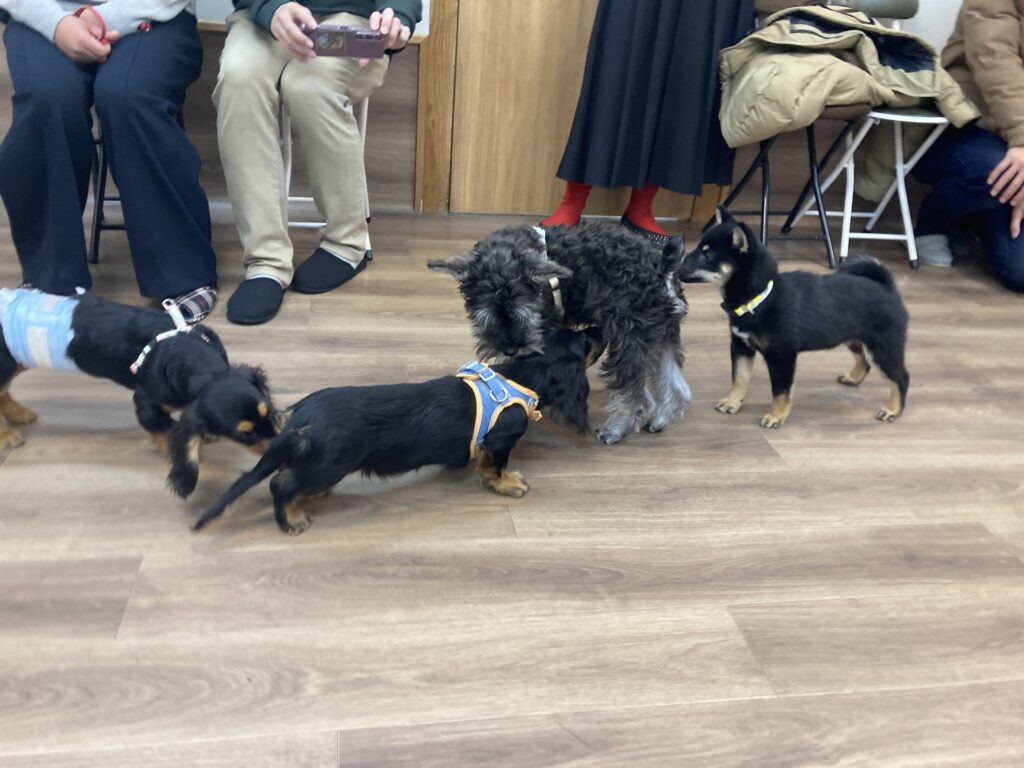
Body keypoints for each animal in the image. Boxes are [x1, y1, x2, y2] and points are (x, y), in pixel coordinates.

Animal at [0, 288, 278, 495]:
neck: (183, 354)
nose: (279, 449)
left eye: (267, 413)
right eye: (244, 434)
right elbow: (167, 433)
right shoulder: (146, 404)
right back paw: (7, 435)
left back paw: (19, 414)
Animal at [191, 328, 603, 535]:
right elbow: (496, 466)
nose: (603, 330)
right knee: (281, 484)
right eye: (587, 341)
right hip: (330, 463)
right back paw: (290, 519)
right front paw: (507, 483)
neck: (521, 375)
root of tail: (299, 420)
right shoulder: (503, 438)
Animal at [428, 221, 691, 444]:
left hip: (628, 335)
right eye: (486, 317)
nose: (511, 348)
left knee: (635, 391)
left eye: (523, 315)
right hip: (663, 333)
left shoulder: (538, 330)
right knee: (675, 381)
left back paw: (617, 429)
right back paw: (659, 420)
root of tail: (663, 270)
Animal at [677, 207, 910, 428]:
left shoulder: (782, 356)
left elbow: (781, 391)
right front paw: (732, 402)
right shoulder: (741, 346)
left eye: (707, 256)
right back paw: (853, 378)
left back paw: (892, 410)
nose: (677, 267)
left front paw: (776, 416)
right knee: (865, 362)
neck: (760, 297)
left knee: (901, 378)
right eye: (699, 248)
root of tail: (887, 288)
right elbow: (739, 379)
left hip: (883, 348)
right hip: (853, 338)